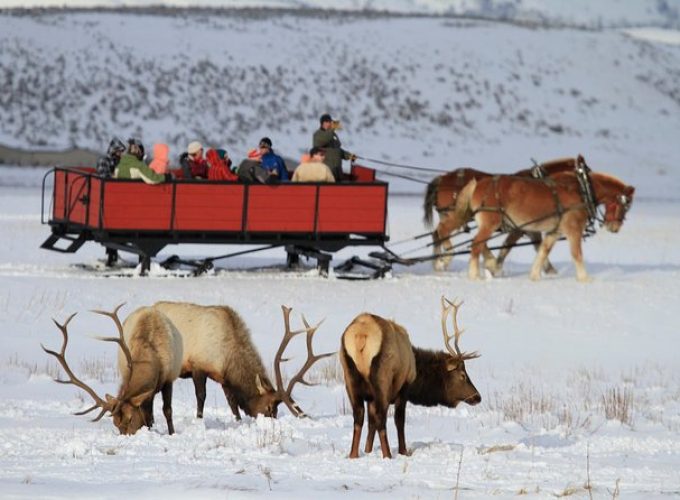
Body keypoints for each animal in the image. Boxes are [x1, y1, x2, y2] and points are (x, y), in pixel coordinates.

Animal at [44, 302, 185, 436]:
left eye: (130, 418)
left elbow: (167, 410)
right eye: (115, 423)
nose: (126, 436)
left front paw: (171, 433)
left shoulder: (169, 378)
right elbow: (148, 415)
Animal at [154, 300, 334, 422]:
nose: (271, 421)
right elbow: (201, 396)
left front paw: (238, 420)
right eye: (269, 407)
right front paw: (199, 419)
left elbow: (232, 403)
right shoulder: (198, 365)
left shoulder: (224, 379)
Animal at [338, 298, 478, 458]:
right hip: (382, 379)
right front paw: (403, 451)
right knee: (381, 417)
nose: (477, 397)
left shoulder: (370, 398)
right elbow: (399, 420)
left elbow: (370, 424)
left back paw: (353, 455)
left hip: (349, 376)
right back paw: (387, 455)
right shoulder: (404, 387)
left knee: (358, 416)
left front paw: (368, 450)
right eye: (462, 375)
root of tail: (361, 336)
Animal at [422, 156, 588, 274]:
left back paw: (438, 262)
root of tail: (442, 178)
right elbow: (508, 246)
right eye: (585, 174)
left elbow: (536, 245)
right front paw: (496, 267)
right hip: (458, 214)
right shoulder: (521, 228)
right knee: (443, 231)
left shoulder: (529, 228)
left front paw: (549, 270)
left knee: (438, 234)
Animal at [454, 172, 636, 282]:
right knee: (476, 245)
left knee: (481, 245)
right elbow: (576, 254)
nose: (615, 227)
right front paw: (585, 278)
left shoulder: (554, 232)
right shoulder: (573, 230)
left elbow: (543, 251)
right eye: (626, 204)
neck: (582, 191)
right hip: (491, 223)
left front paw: (534, 275)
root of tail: (478, 184)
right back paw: (474, 275)